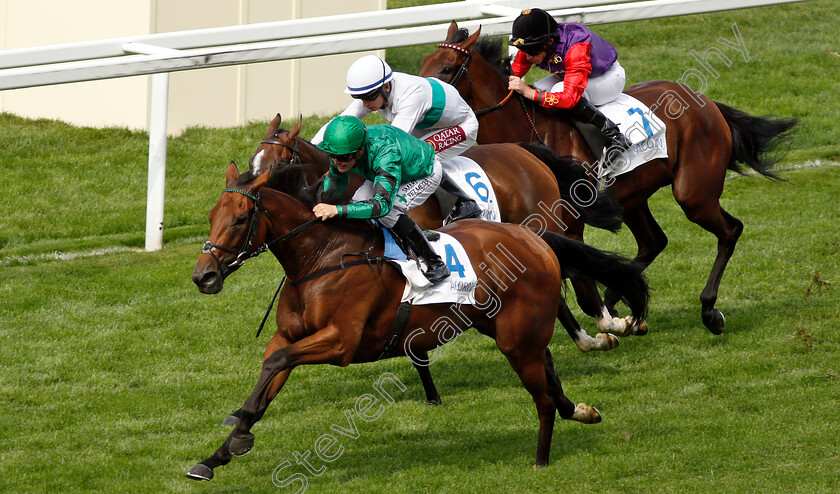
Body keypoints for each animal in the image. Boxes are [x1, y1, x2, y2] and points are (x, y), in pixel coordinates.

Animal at [189, 162, 648, 478]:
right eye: (211, 215)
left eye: (240, 219)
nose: (203, 276)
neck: (320, 258)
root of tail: (532, 237)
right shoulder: (288, 336)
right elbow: (267, 378)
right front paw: (219, 453)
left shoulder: (340, 341)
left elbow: (276, 363)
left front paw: (238, 438)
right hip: (507, 329)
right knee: (550, 372)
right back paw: (580, 410)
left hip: (517, 340)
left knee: (543, 396)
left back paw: (541, 459)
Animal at [424, 21, 796, 334]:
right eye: (424, 65)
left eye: (447, 69)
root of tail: (706, 102)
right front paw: (614, 313)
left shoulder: (570, 219)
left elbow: (576, 269)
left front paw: (605, 317)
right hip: (632, 197)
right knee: (653, 242)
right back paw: (626, 305)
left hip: (694, 193)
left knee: (729, 230)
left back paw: (707, 311)